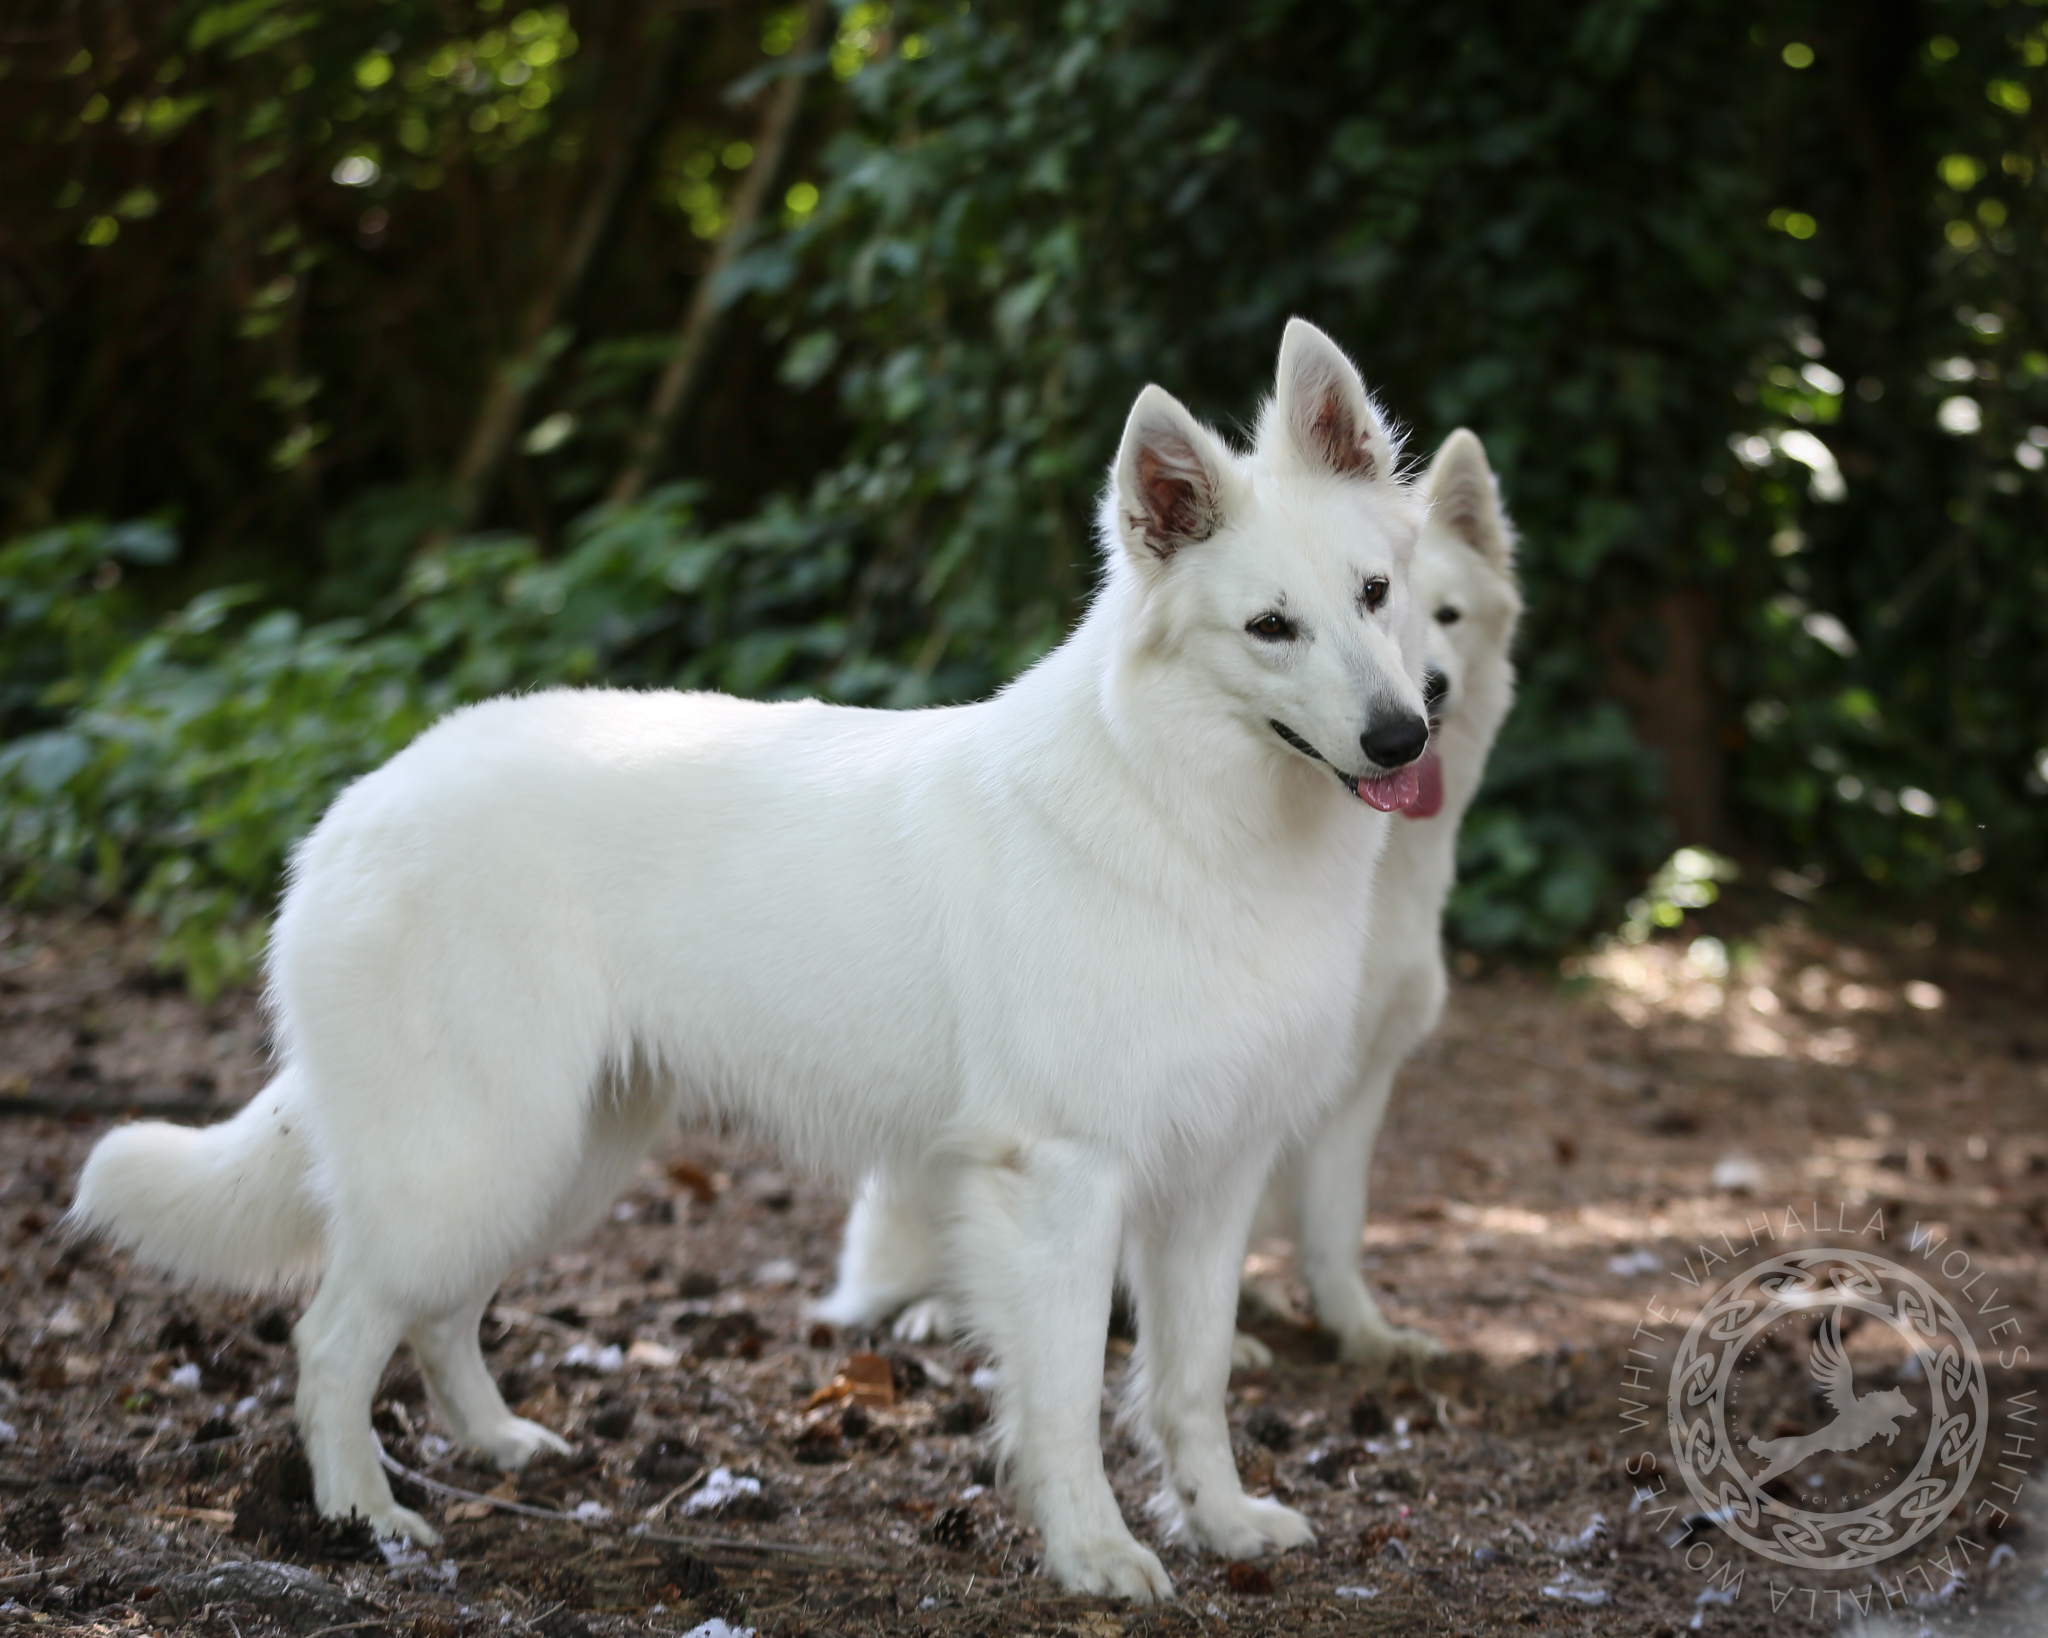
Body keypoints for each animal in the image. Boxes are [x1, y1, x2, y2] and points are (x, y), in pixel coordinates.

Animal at [69, 320, 1431, 1602]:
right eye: (1268, 628)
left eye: (1373, 592)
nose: (1401, 736)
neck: (1185, 811)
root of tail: (355, 804)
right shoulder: (1060, 1182)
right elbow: (1062, 1401)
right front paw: (1092, 1552)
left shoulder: (1211, 1181)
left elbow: (1188, 1382)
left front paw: (1221, 1523)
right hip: (473, 1159)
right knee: (334, 1338)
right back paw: (363, 1517)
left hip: (556, 1161)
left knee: (439, 1316)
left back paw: (498, 1443)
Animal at [821, 429, 1520, 1378]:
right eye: (1273, 627)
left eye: (1434, 611)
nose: (1420, 708)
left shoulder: (1349, 1082)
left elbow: (1333, 1232)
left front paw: (1359, 1331)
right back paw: (939, 1311)